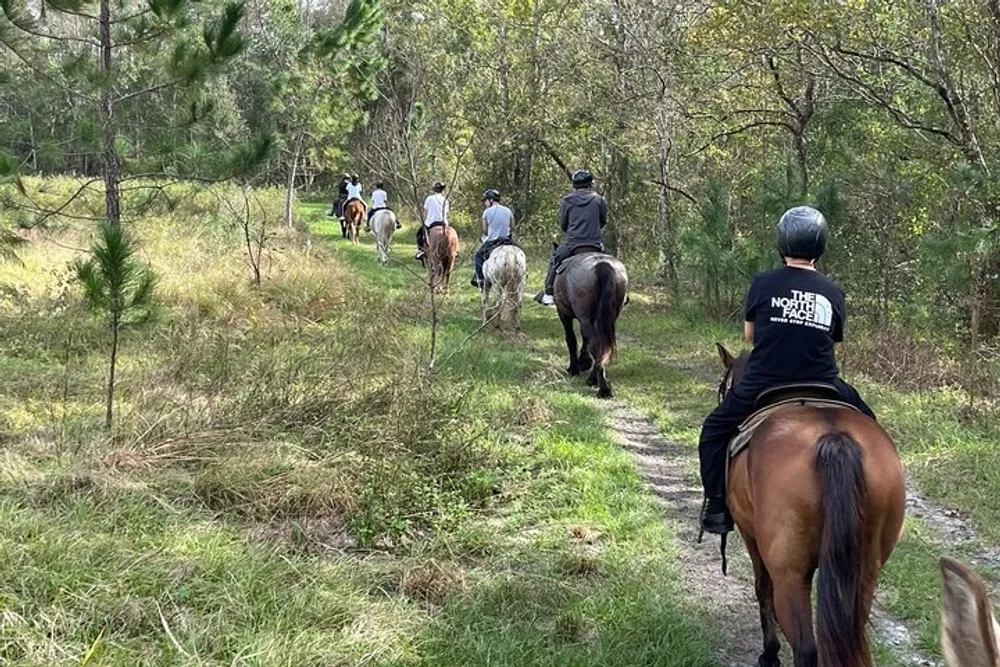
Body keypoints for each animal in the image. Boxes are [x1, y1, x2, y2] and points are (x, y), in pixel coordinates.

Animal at [556, 249, 624, 396]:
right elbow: (584, 339)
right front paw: (584, 362)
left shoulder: (563, 313)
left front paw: (574, 368)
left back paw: (603, 388)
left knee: (596, 346)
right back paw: (596, 380)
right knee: (600, 345)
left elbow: (571, 339)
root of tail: (602, 265)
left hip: (583, 317)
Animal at [712, 348, 908, 667]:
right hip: (864, 573)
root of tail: (834, 439)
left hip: (790, 573)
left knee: (805, 647)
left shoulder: (751, 537)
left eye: (722, 387)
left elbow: (762, 588)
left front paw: (770, 653)